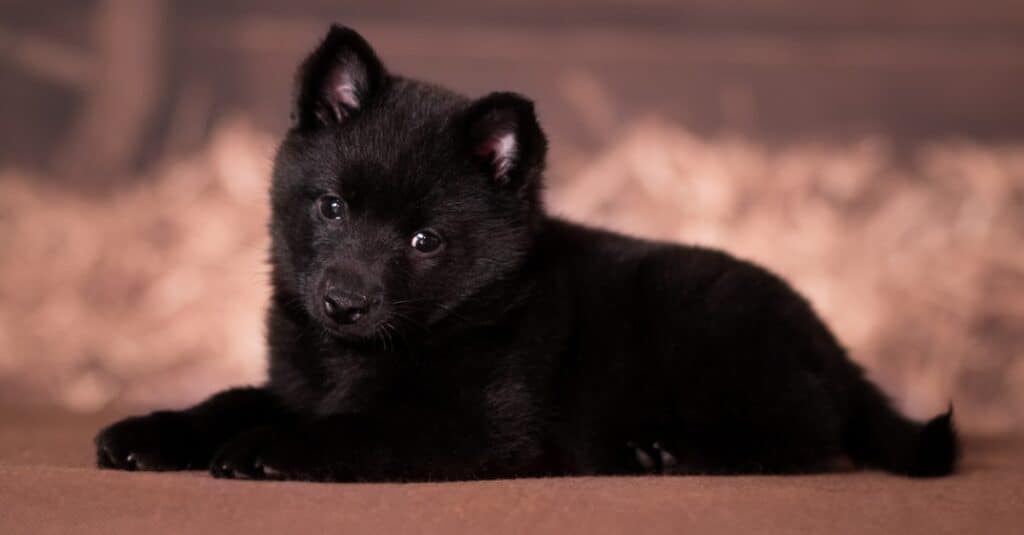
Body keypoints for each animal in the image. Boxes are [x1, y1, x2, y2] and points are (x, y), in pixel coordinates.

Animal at [96, 24, 958, 479]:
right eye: (332, 206)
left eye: (425, 239)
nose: (343, 301)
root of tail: (828, 339)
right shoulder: (297, 383)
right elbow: (230, 398)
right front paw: (148, 430)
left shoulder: (481, 427)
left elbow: (359, 428)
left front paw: (269, 449)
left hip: (725, 345)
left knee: (810, 434)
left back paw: (671, 449)